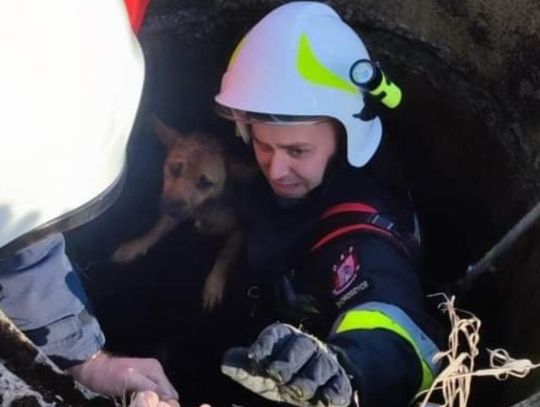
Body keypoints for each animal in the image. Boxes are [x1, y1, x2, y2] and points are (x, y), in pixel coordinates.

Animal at [114, 116, 249, 310]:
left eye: (205, 183)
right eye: (175, 169)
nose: (169, 207)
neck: (203, 208)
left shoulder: (239, 231)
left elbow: (225, 256)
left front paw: (213, 286)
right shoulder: (173, 215)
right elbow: (156, 230)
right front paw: (135, 246)